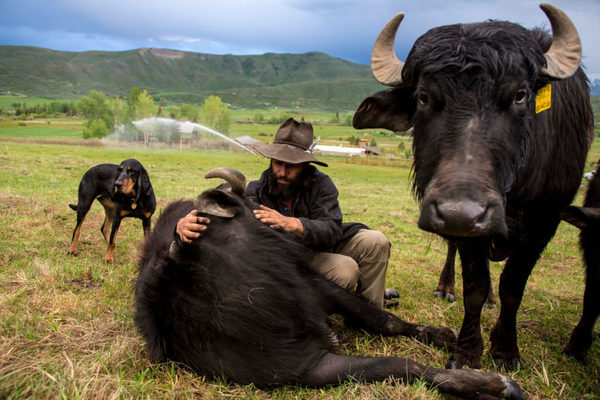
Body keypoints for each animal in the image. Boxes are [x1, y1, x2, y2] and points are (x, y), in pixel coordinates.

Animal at [134, 167, 524, 398]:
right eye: (254, 202)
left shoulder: (313, 286)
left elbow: (384, 320)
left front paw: (445, 335)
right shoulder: (309, 366)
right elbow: (401, 365)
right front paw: (491, 383)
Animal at [354, 3, 592, 372]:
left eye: (520, 95)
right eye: (423, 97)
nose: (460, 214)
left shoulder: (546, 221)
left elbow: (513, 286)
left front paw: (506, 350)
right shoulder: (466, 231)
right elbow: (475, 287)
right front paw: (467, 353)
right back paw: (445, 287)